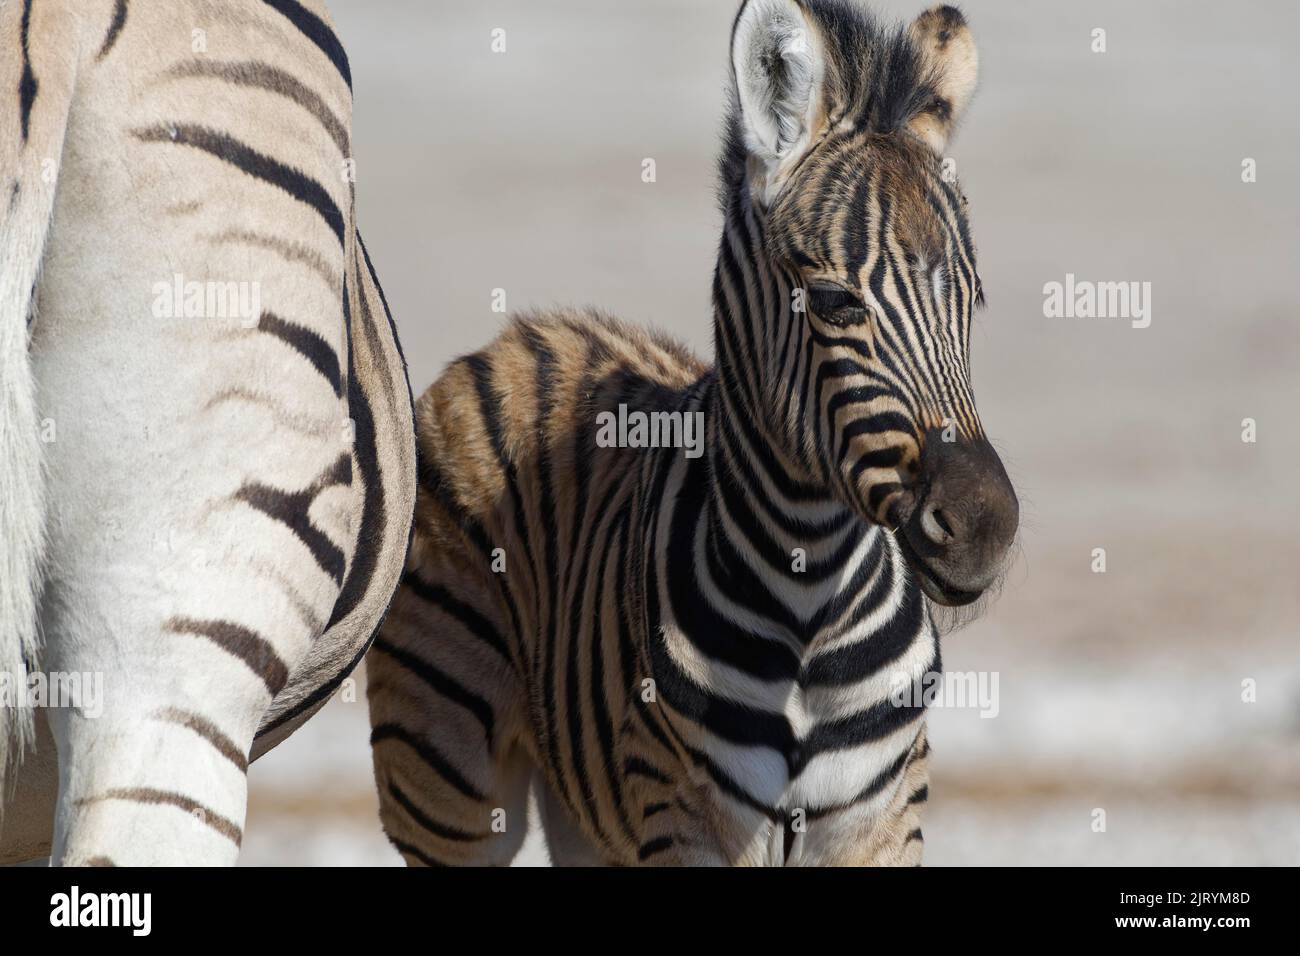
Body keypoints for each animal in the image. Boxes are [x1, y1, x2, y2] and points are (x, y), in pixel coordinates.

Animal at [366, 0, 1013, 868]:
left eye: (973, 302)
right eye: (835, 302)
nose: (983, 527)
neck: (810, 603)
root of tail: (526, 333)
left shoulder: (878, 824)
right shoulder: (687, 818)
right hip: (448, 781)